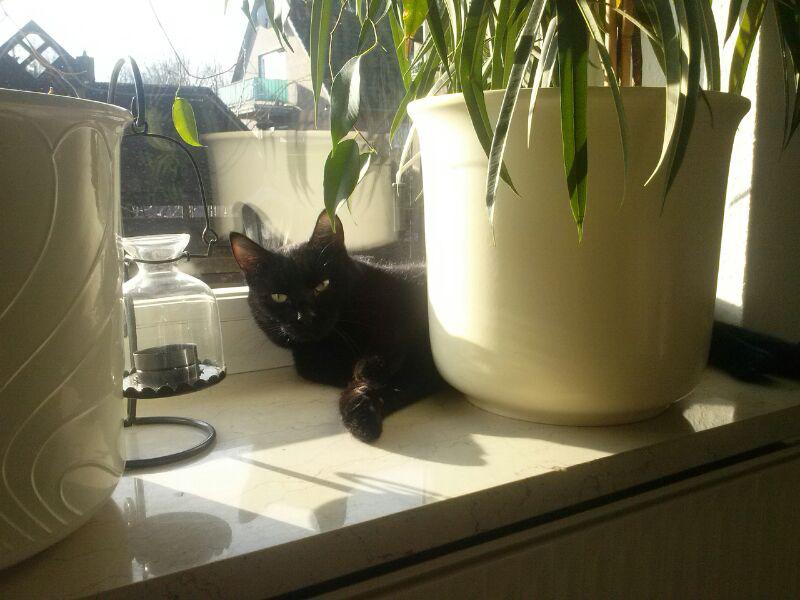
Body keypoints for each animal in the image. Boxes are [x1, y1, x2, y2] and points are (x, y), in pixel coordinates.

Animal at [230, 210, 445, 442]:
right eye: (279, 297)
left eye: (322, 285)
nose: (305, 316)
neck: (335, 342)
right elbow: (395, 387)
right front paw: (362, 417)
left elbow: (393, 336)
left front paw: (369, 369)